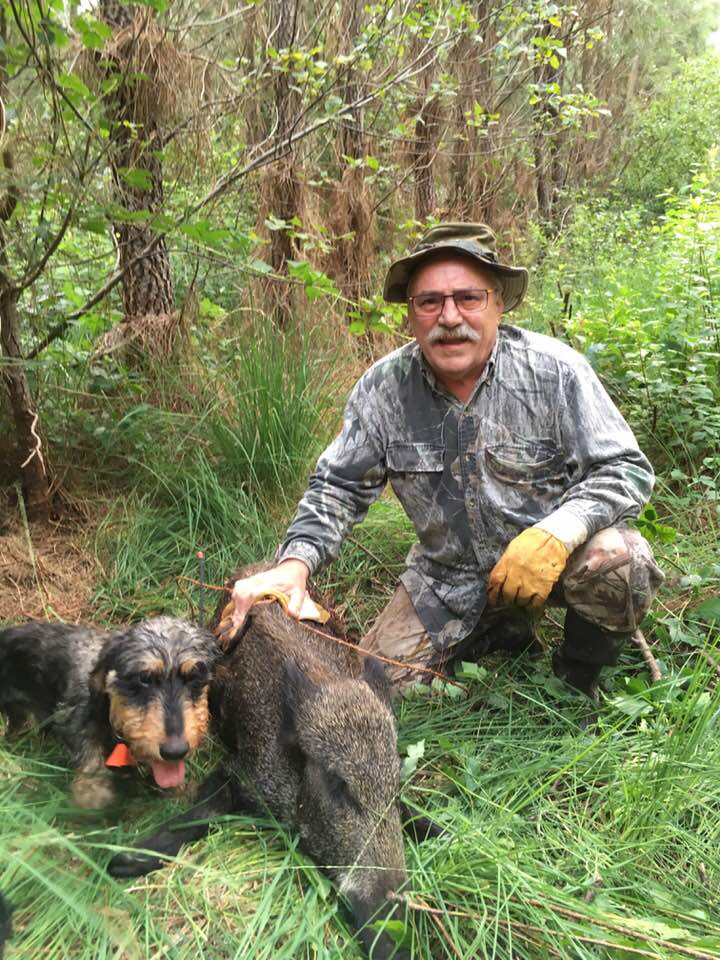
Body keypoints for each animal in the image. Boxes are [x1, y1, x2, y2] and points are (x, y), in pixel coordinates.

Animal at [0, 616, 219, 808]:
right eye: (143, 679)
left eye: (194, 677)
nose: (175, 751)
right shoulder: (72, 716)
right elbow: (88, 749)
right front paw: (92, 791)